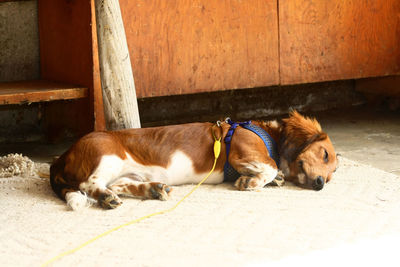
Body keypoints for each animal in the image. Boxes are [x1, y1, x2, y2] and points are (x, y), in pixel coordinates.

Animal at [49, 111, 338, 211]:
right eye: (324, 154)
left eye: (332, 174)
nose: (321, 184)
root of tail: (63, 156)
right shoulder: (241, 150)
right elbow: (271, 166)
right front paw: (252, 181)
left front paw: (271, 179)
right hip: (107, 157)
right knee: (88, 185)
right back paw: (106, 197)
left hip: (125, 174)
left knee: (118, 185)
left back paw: (153, 189)